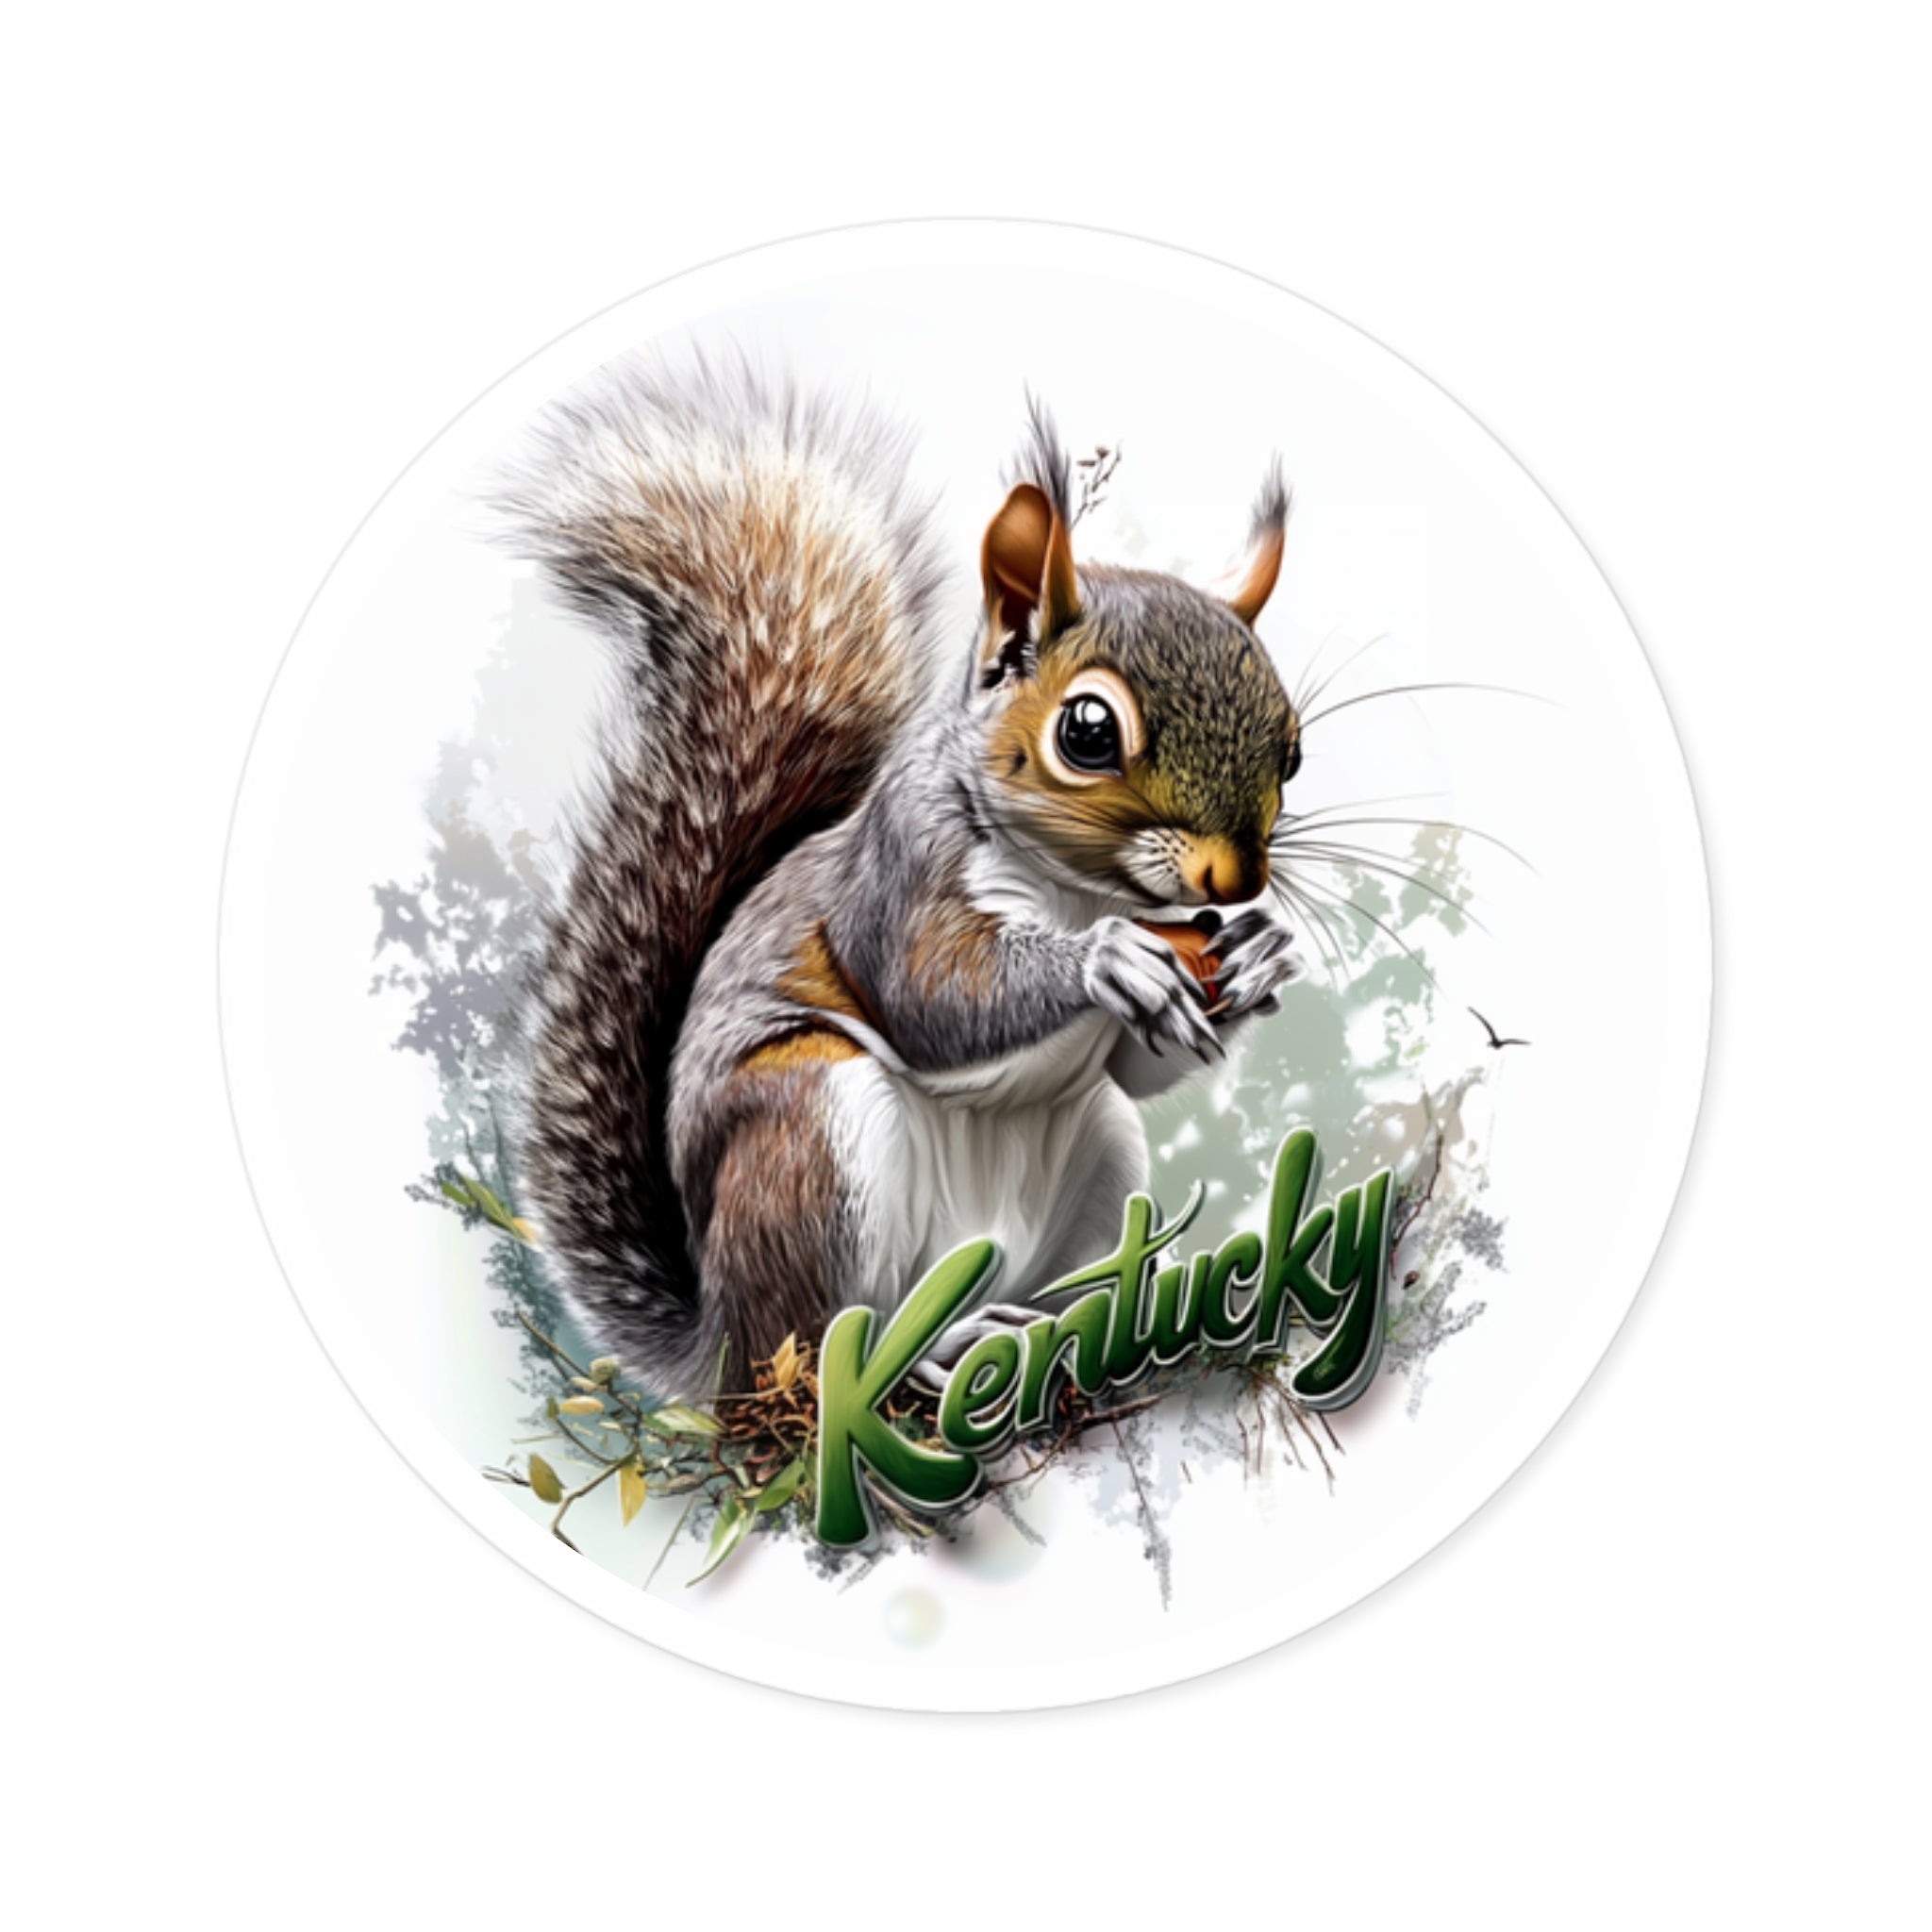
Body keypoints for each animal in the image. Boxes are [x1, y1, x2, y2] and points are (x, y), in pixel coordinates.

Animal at [496, 354, 1307, 1399]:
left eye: (1292, 749)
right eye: (1087, 731)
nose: (1234, 879)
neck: (1076, 888)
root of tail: (717, 1343)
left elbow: (1145, 1067)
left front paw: (1264, 951)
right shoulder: (897, 868)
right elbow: (933, 995)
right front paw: (1106, 960)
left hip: (1102, 1150)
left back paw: (1081, 1326)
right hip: (813, 1139)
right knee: (827, 1345)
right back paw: (934, 1351)